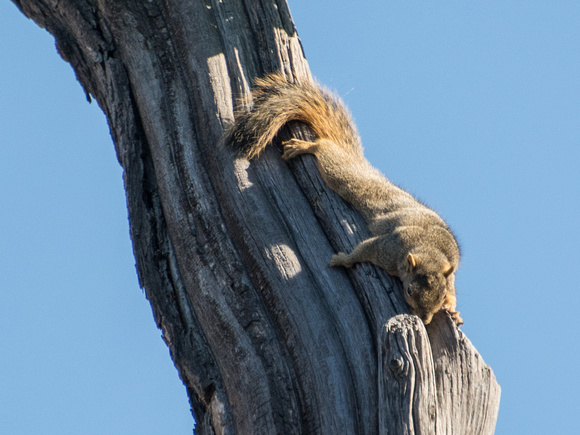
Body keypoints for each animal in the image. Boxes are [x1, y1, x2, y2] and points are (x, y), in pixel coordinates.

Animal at [227, 73, 462, 326]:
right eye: (409, 291)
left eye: (439, 297)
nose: (425, 319)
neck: (429, 251)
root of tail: (360, 163)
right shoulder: (386, 249)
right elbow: (361, 251)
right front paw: (342, 259)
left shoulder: (449, 273)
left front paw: (453, 310)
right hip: (342, 177)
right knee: (325, 149)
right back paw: (305, 146)